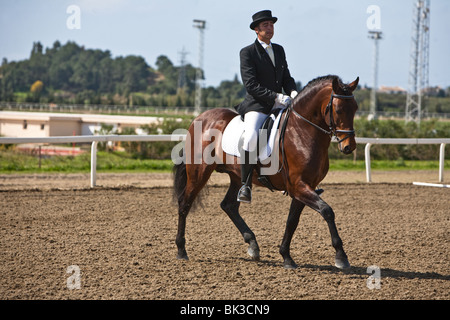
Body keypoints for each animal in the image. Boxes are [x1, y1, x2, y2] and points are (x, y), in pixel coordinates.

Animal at [172, 75, 358, 270]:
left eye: (355, 108)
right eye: (338, 110)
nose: (349, 147)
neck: (302, 131)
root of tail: (199, 118)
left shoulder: (305, 187)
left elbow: (292, 221)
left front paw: (286, 256)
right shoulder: (298, 186)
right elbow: (327, 211)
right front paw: (341, 256)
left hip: (237, 176)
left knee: (229, 205)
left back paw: (253, 244)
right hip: (199, 173)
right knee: (184, 203)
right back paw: (181, 250)